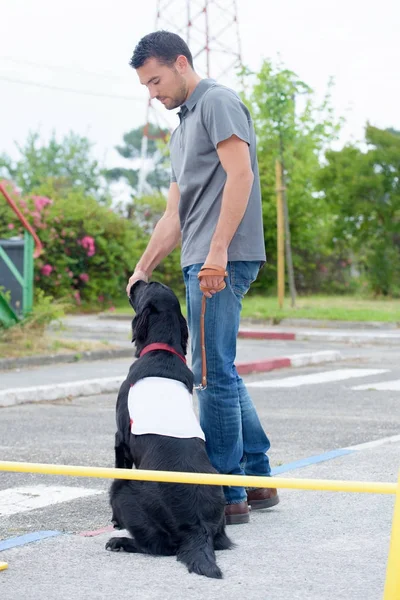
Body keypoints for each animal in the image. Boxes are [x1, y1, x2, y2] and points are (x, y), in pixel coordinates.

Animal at [106, 284, 233, 580]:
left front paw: (115, 524)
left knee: (157, 546)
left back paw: (120, 542)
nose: (135, 282)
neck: (161, 350)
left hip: (122, 489)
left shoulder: (120, 439)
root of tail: (198, 526)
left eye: (147, 288)